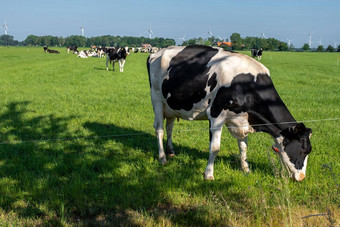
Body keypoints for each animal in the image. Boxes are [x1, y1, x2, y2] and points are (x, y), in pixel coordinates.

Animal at [147, 45, 312, 182]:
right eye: (304, 150)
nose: (302, 178)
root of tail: (157, 52)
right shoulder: (215, 114)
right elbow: (215, 148)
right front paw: (208, 174)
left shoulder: (242, 119)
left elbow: (243, 146)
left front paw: (246, 169)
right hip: (156, 99)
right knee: (159, 129)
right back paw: (162, 158)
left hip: (171, 106)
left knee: (169, 128)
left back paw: (171, 151)